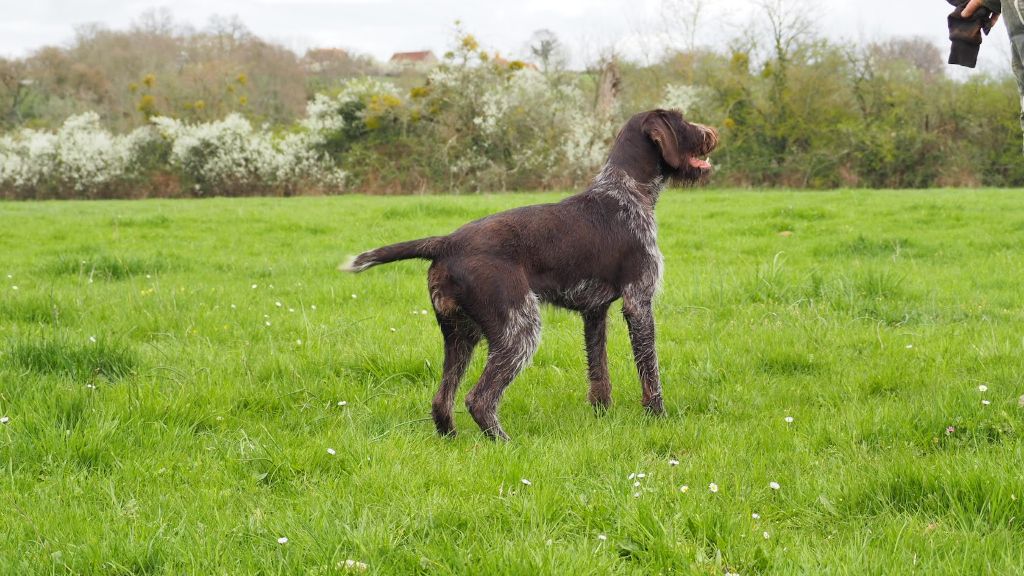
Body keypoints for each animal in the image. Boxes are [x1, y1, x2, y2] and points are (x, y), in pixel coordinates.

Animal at [344, 108, 720, 438]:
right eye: (682, 119)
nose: (713, 132)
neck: (626, 190)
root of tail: (447, 243)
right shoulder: (639, 302)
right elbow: (650, 372)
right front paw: (657, 416)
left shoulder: (594, 312)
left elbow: (599, 373)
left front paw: (602, 416)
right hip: (519, 329)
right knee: (479, 399)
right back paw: (504, 443)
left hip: (461, 334)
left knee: (442, 398)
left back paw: (451, 439)